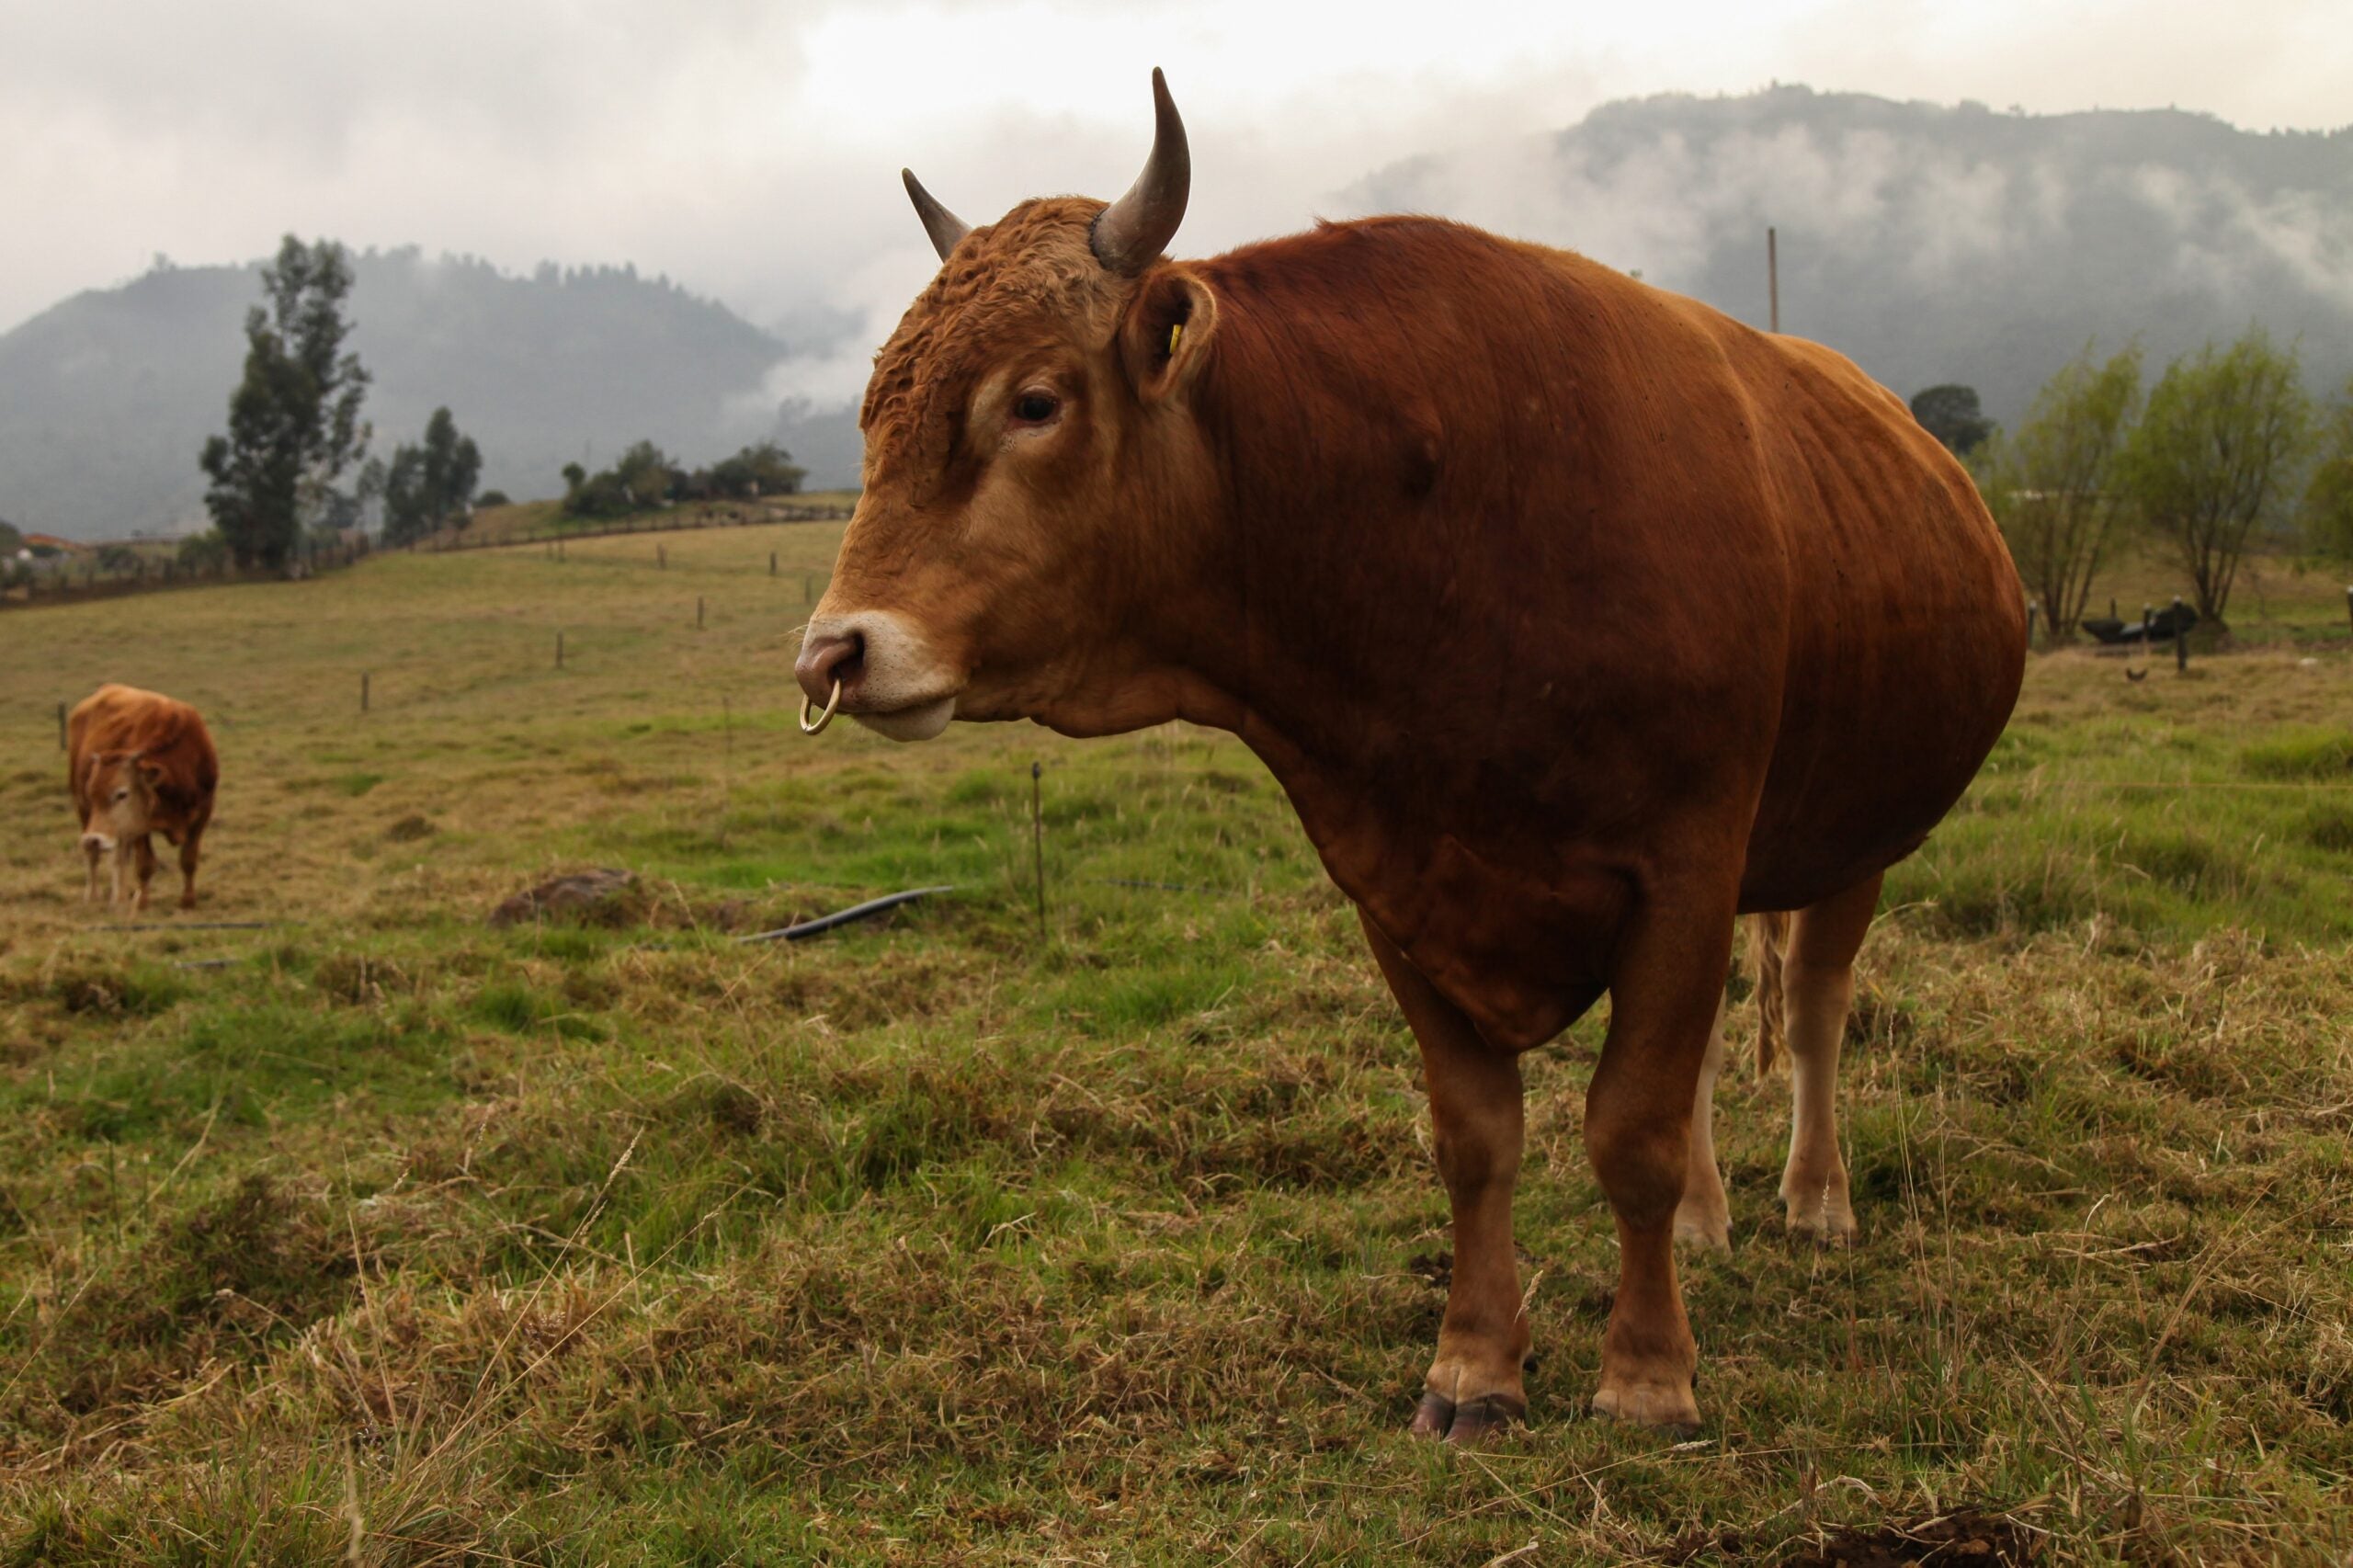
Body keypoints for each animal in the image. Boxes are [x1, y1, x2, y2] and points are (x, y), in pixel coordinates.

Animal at [67, 677, 220, 908]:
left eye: (122, 794)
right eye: (91, 793)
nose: (93, 839)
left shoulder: (202, 813)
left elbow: (189, 859)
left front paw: (188, 901)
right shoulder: (137, 824)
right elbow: (145, 864)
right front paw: (142, 903)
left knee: (118, 857)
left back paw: (119, 896)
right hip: (85, 812)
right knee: (96, 857)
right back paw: (95, 896)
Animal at [795, 76, 2023, 1440]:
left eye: (1033, 401)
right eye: (875, 413)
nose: (834, 650)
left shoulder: (1687, 866)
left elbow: (1634, 1129)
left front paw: (1649, 1374)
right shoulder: (1396, 877)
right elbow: (1480, 1134)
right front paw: (1475, 1368)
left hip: (1854, 839)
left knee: (1812, 1011)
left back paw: (1814, 1200)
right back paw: (1710, 1217)